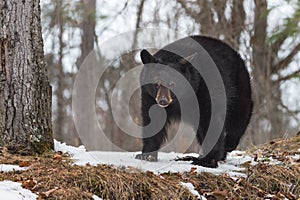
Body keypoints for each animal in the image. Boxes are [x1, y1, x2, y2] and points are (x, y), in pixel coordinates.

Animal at [136, 35, 253, 167]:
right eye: (156, 83)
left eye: (173, 83)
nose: (163, 101)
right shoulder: (149, 95)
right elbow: (153, 120)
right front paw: (146, 155)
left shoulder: (205, 88)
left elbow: (211, 119)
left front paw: (208, 160)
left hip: (239, 87)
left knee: (239, 116)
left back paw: (228, 144)